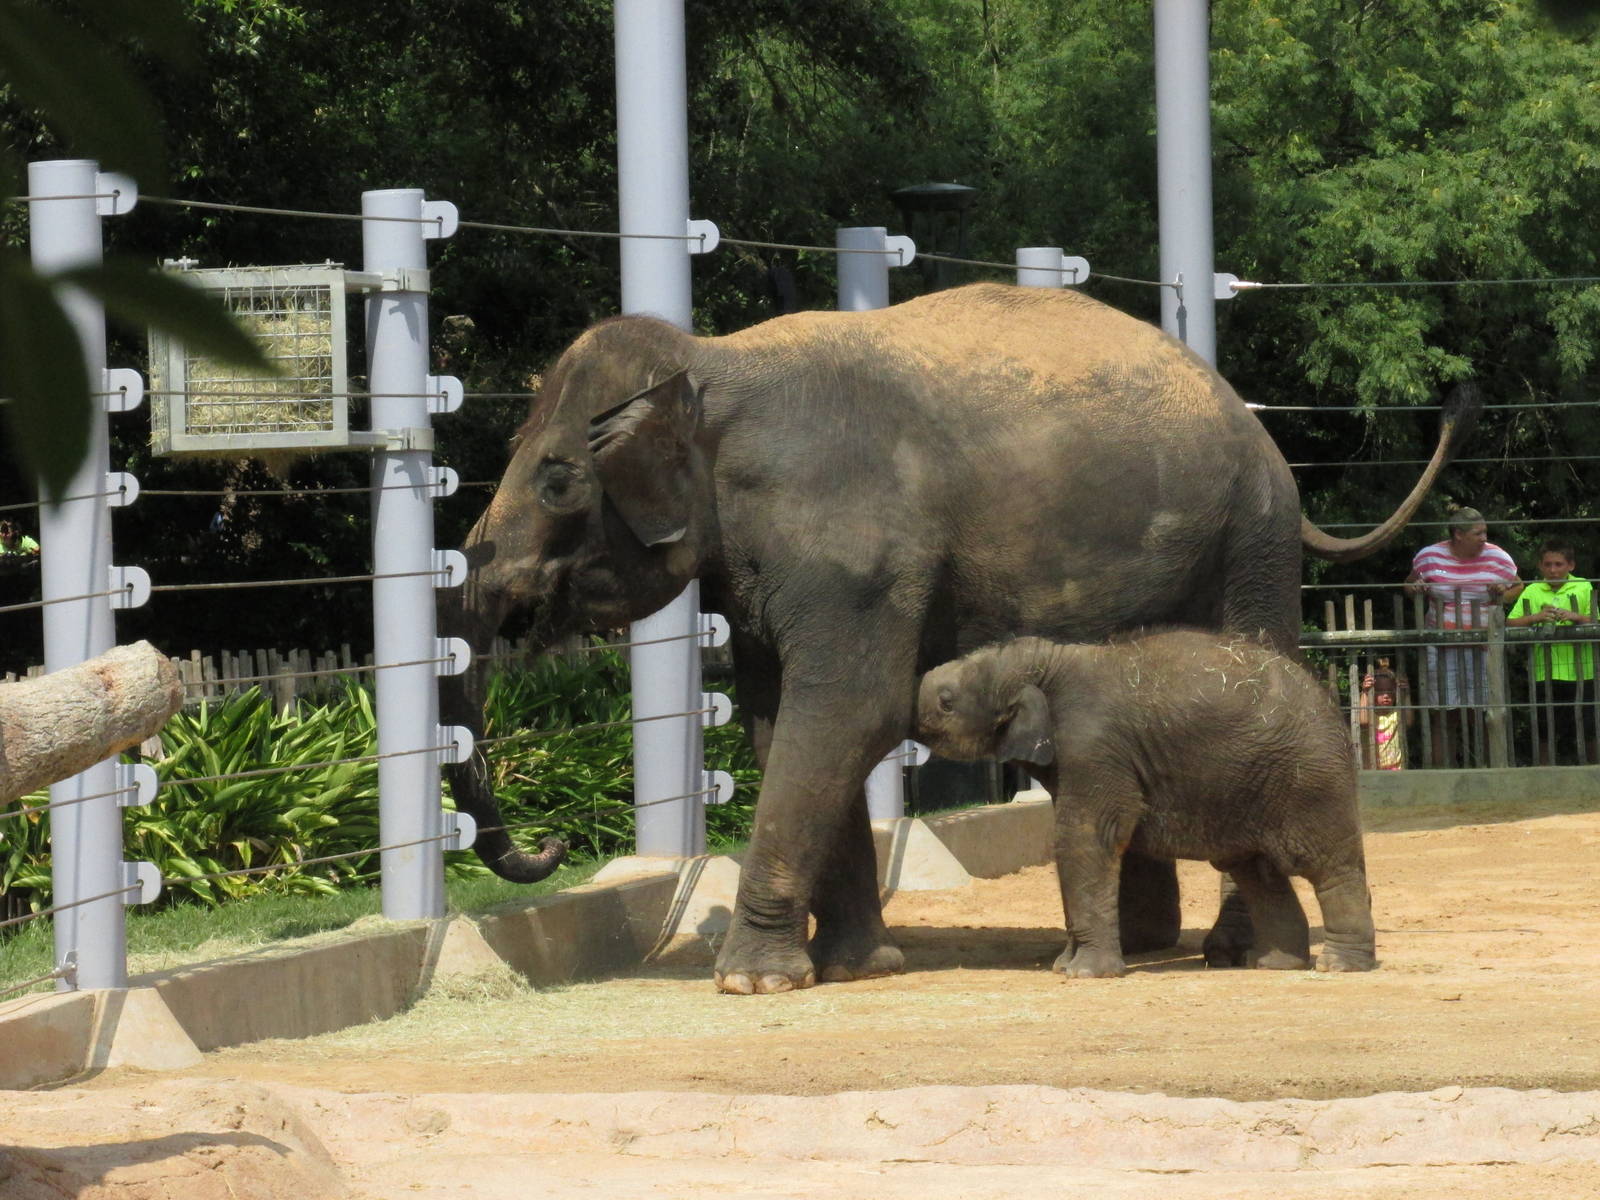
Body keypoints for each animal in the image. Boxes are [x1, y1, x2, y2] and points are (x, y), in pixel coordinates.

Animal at [914, 631, 1377, 977]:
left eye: (946, 701)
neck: (1045, 662)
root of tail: (1333, 707)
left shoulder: (1093, 746)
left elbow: (1085, 838)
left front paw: (1084, 973)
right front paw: (1063, 966)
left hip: (1310, 780)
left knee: (1326, 866)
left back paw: (1339, 966)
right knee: (1256, 872)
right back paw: (1274, 964)